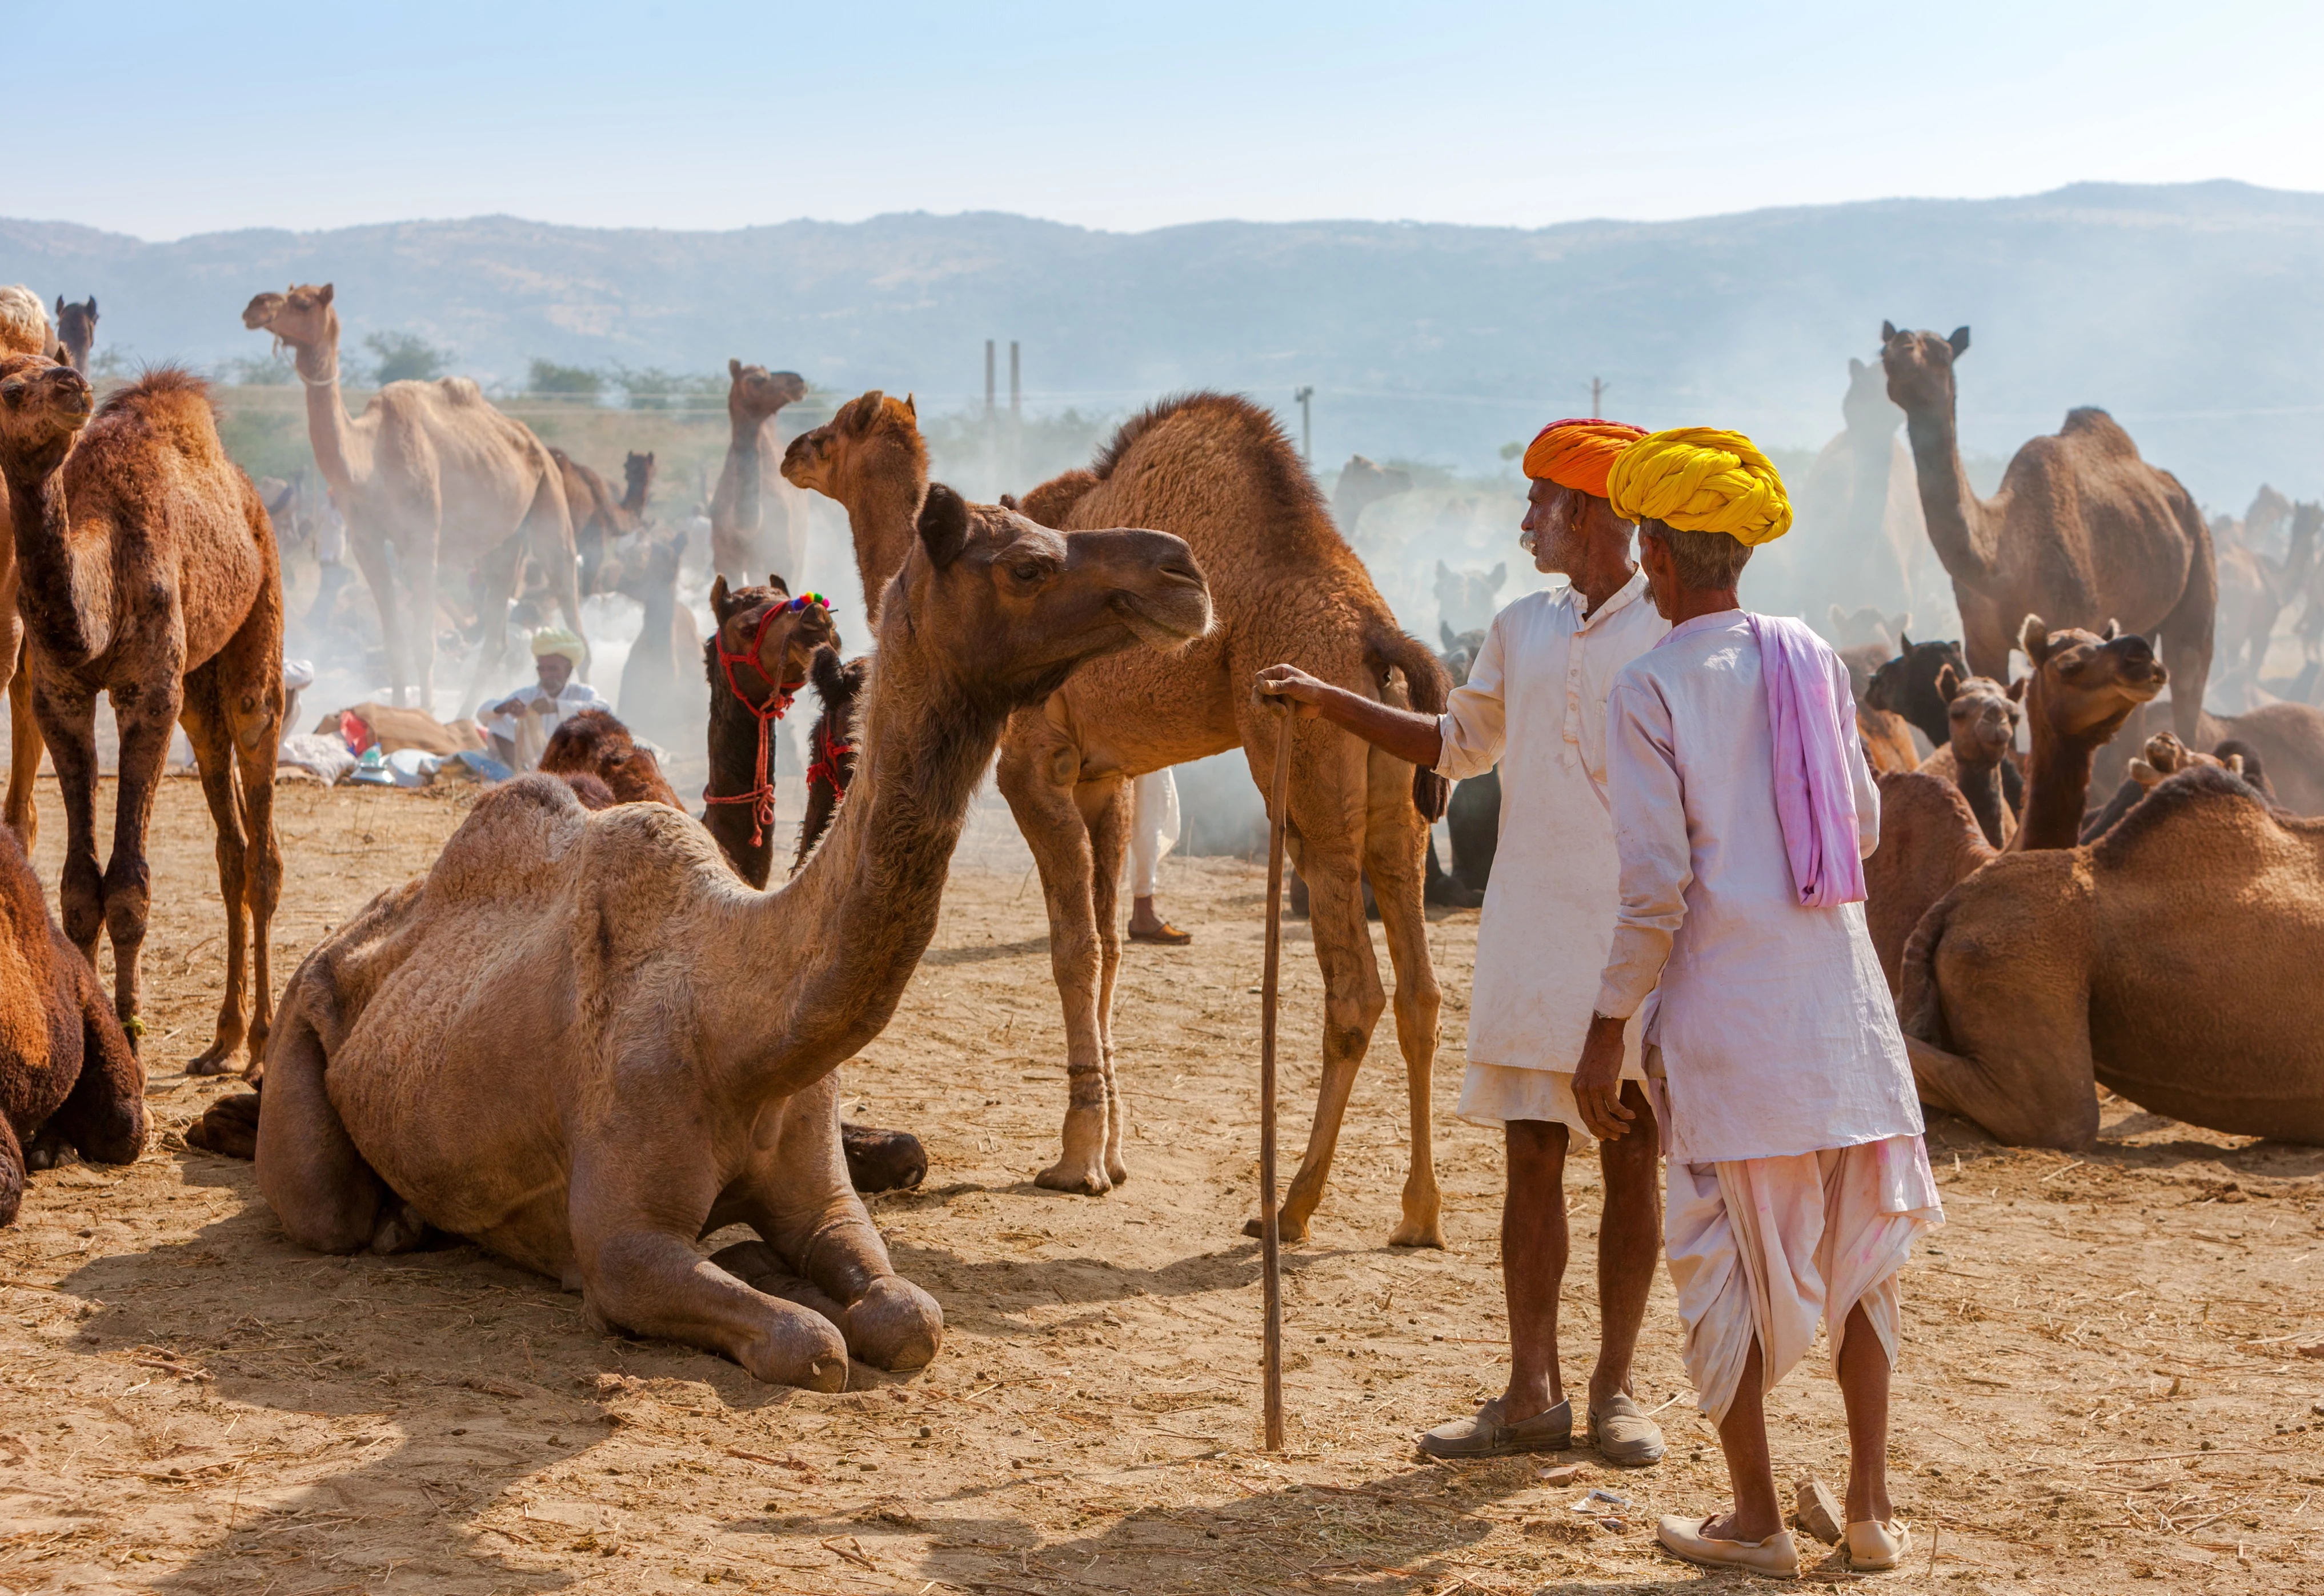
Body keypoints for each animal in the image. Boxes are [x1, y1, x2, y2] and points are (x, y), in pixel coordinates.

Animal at [0, 358, 285, 1073]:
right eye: (10, 388)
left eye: (52, 369)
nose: (73, 385)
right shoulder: (61, 697)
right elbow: (79, 889)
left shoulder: (148, 693)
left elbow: (128, 886)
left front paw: (131, 1036)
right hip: (198, 688)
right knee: (231, 848)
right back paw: (221, 1041)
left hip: (260, 619)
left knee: (262, 842)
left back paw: (262, 1047)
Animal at [238, 485, 1207, 1387]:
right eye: (1027, 566)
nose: (1185, 571)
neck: (740, 1028)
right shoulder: (625, 1246)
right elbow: (807, 1344)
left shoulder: (824, 1193)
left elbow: (908, 1316)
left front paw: (802, 1276)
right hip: (304, 1043)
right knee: (328, 1208)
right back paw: (396, 1221)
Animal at [241, 284, 583, 716]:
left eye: (303, 302)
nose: (255, 305)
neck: (369, 461)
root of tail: (536, 444)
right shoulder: (366, 543)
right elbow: (393, 641)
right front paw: (396, 714)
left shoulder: (424, 538)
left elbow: (424, 642)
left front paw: (424, 714)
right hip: (504, 544)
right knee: (497, 638)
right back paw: (466, 716)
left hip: (550, 504)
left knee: (573, 611)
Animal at [1881, 322, 2214, 743]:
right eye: (1884, 351)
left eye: (1943, 353)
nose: (1902, 348)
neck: (2002, 562)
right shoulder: (1981, 644)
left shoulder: (2076, 622)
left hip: (2201, 562)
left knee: (2189, 668)